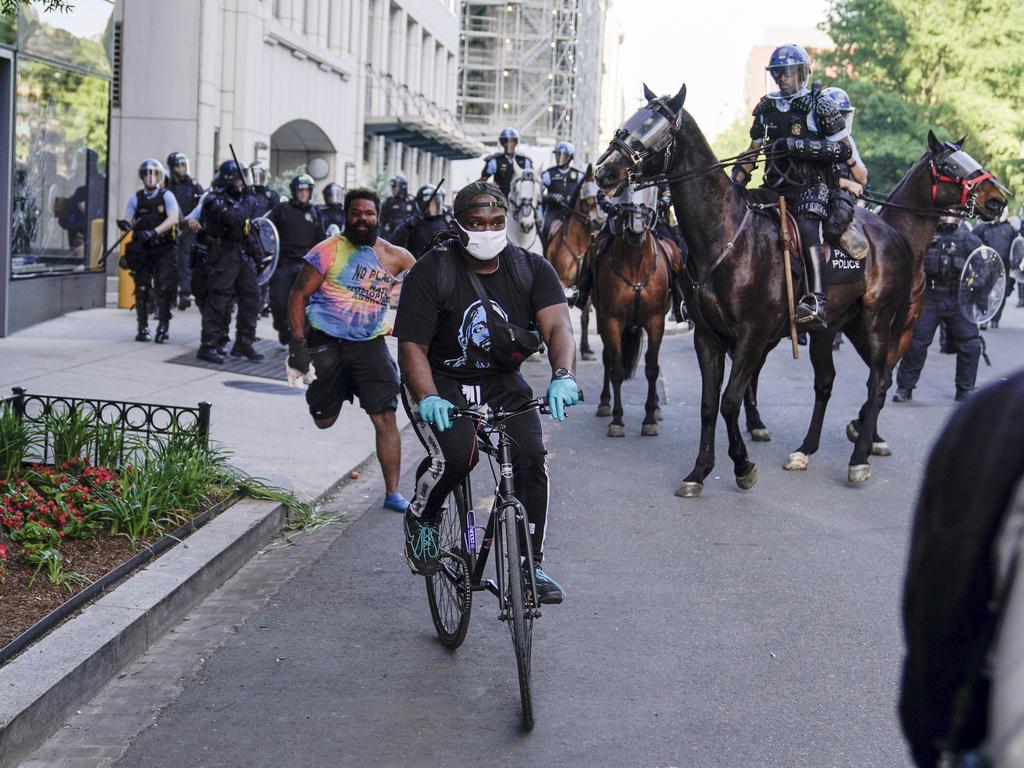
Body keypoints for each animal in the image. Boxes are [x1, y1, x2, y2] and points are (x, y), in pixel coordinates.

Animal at [544, 164, 606, 360]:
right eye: (586, 199)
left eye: (601, 196)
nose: (598, 222)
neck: (578, 243)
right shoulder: (560, 282)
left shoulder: (585, 286)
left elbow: (585, 317)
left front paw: (585, 349)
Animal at [593, 187, 679, 438]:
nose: (636, 229)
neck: (635, 263)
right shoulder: (611, 320)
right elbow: (617, 368)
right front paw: (617, 420)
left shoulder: (655, 321)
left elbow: (652, 368)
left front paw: (649, 418)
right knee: (607, 359)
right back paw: (604, 403)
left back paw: (657, 406)